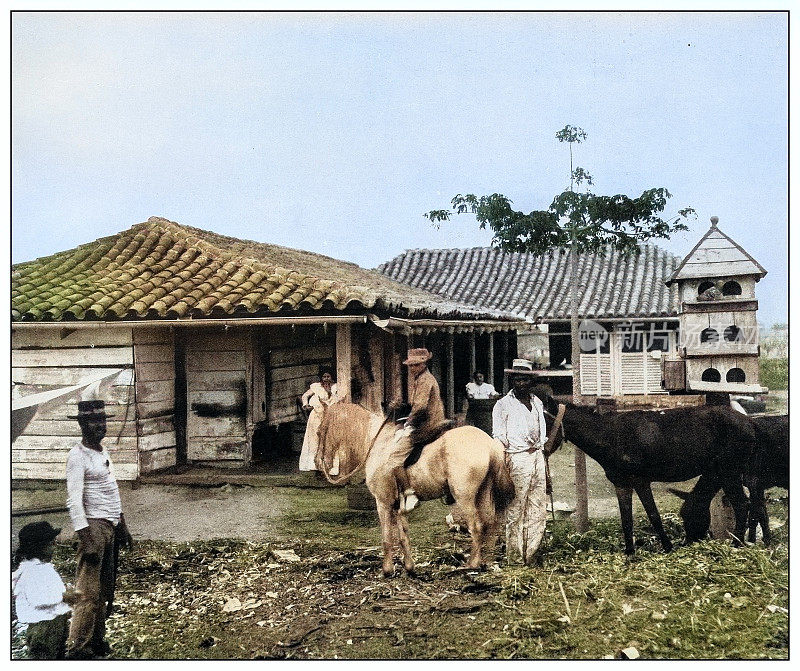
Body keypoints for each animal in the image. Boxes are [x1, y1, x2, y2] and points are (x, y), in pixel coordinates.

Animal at [312, 404, 512, 576]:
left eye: (319, 431)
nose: (317, 462)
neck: (378, 444)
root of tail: (489, 444)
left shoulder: (383, 503)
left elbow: (387, 537)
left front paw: (387, 570)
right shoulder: (398, 506)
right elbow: (403, 535)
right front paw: (409, 567)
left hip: (465, 497)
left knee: (477, 526)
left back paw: (472, 564)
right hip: (483, 494)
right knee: (490, 524)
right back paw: (486, 561)